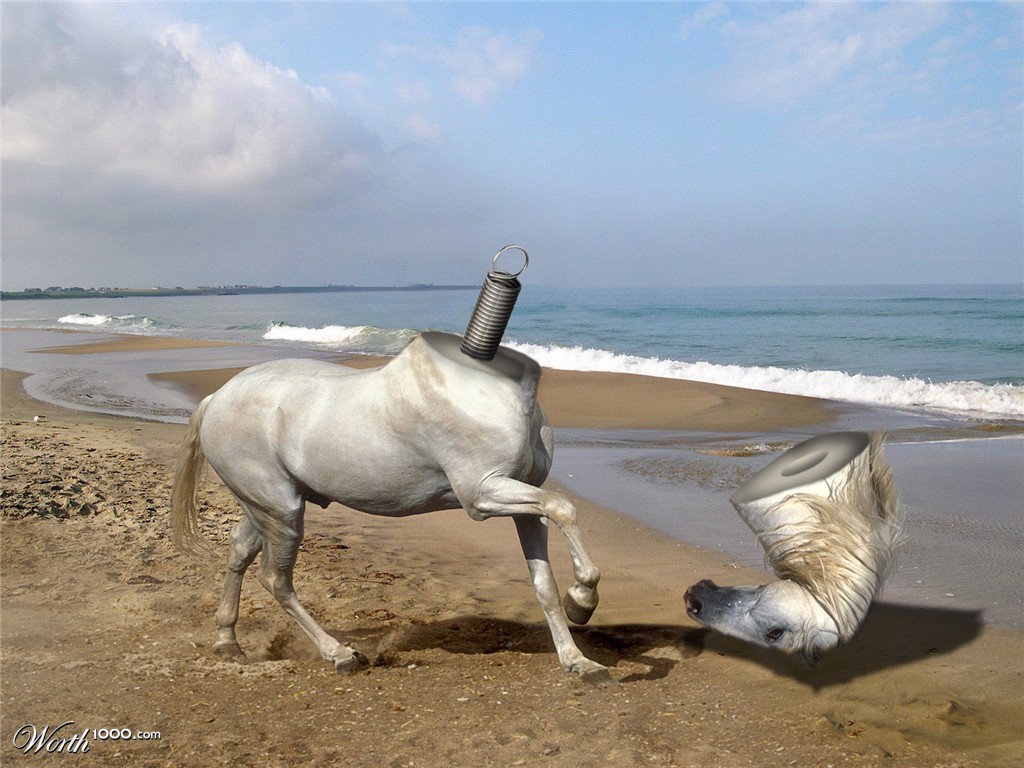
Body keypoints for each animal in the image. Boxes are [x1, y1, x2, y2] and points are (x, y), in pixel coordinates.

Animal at [171, 331, 610, 683]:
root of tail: (215, 398)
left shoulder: (524, 500)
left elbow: (544, 583)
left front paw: (579, 660)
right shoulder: (483, 494)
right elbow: (564, 507)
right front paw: (582, 602)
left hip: (265, 506)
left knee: (239, 552)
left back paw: (228, 643)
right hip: (283, 511)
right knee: (275, 580)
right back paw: (341, 654)